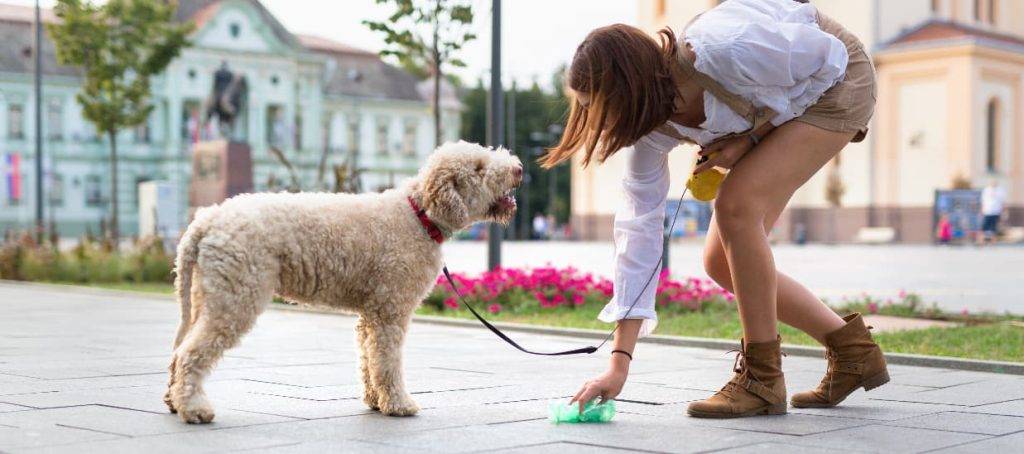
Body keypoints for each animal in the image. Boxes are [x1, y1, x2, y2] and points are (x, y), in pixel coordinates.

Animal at [166, 141, 524, 422]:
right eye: (478, 167)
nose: (519, 168)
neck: (418, 215)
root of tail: (206, 220)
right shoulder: (391, 309)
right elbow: (387, 361)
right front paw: (399, 404)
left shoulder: (372, 312)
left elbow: (368, 359)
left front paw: (375, 401)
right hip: (235, 296)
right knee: (191, 353)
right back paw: (195, 409)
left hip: (207, 294)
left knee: (179, 348)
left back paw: (174, 401)